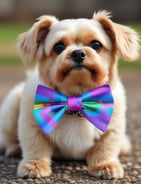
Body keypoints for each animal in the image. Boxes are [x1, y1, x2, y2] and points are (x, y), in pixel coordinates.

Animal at [0, 10, 140, 179]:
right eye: (59, 47)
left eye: (96, 45)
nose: (78, 53)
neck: (76, 96)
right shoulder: (30, 123)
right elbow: (35, 145)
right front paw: (34, 165)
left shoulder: (113, 125)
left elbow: (106, 147)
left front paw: (105, 165)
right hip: (11, 105)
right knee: (7, 137)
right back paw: (13, 148)